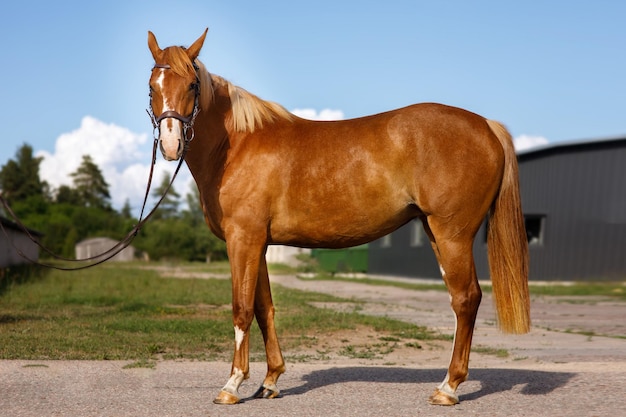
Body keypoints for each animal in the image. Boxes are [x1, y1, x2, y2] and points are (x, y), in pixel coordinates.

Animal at [149, 30, 528, 406]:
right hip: (436, 233)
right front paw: (270, 380)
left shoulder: (243, 239)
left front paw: (232, 385)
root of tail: (487, 126)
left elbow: (241, 308)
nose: (170, 144)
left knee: (466, 299)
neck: (236, 145)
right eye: (153, 85)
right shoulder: (259, 243)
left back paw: (448, 387)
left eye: (192, 85)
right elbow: (263, 308)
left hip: (452, 234)